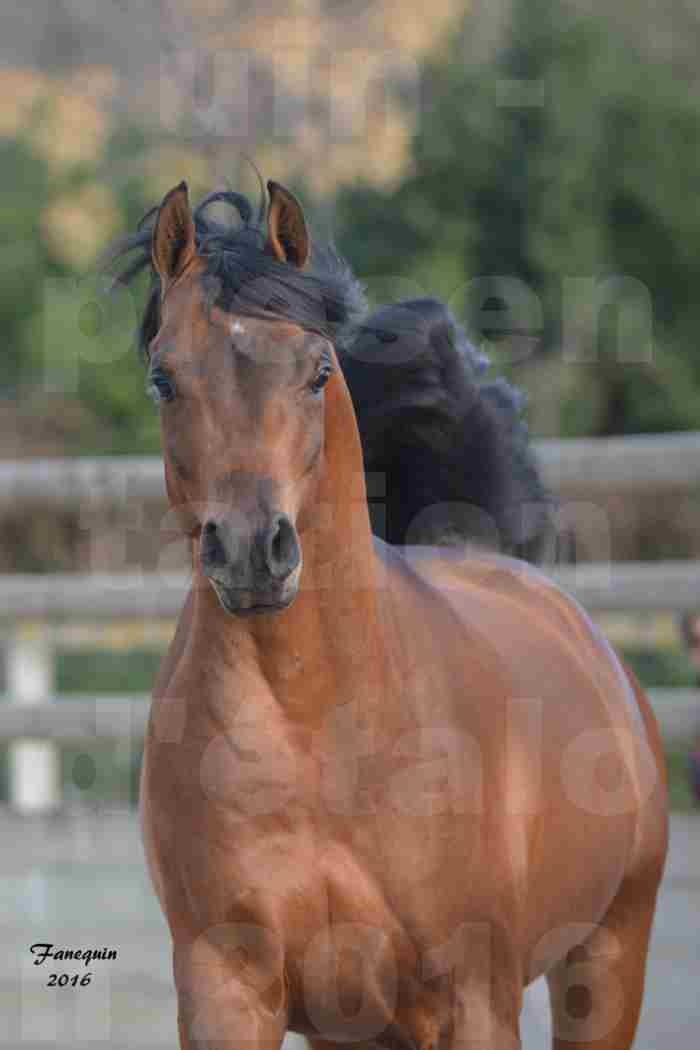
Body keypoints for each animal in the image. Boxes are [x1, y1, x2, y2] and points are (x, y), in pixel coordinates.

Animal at [109, 182, 667, 1050]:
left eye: (318, 372)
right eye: (165, 379)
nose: (253, 551)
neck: (315, 727)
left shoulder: (476, 999)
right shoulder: (227, 994)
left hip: (607, 961)